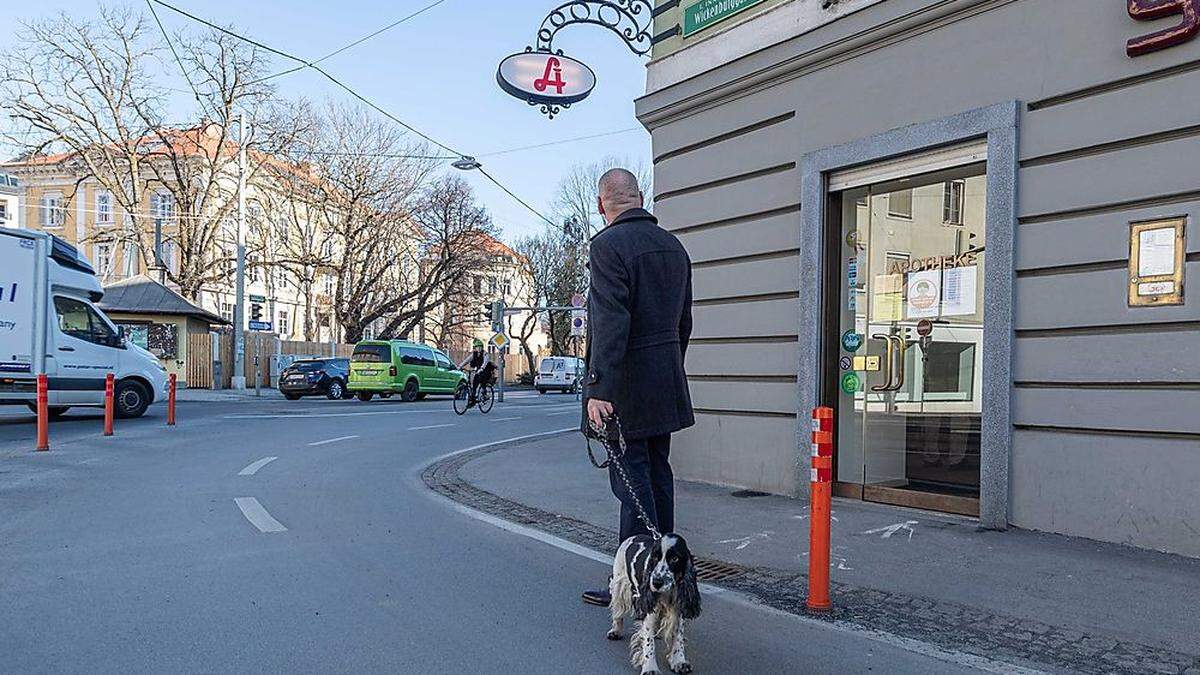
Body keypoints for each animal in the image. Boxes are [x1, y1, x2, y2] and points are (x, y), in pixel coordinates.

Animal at [609, 533, 700, 667]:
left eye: (675, 559)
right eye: (655, 558)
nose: (656, 582)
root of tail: (635, 536)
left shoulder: (679, 609)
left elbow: (678, 636)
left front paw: (679, 661)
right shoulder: (649, 609)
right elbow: (648, 641)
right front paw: (650, 666)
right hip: (620, 583)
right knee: (618, 610)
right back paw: (615, 631)